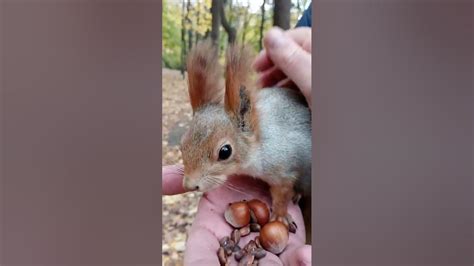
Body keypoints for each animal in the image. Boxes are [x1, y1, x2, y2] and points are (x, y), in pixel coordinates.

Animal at [178, 40, 312, 241]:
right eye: (182, 144)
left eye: (225, 152)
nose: (189, 185)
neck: (259, 144)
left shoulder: (284, 169)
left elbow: (282, 192)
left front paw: (280, 215)